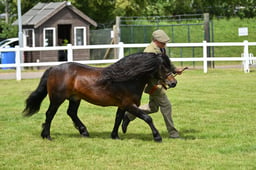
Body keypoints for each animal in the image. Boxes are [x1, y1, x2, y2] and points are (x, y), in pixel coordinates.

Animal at [23, 52, 175, 141]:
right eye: (163, 66)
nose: (173, 82)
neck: (127, 79)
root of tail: (53, 68)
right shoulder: (128, 105)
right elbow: (147, 118)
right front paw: (157, 136)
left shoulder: (122, 105)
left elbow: (118, 119)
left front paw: (115, 136)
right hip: (57, 99)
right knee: (50, 114)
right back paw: (47, 136)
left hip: (75, 98)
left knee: (71, 112)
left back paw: (84, 132)